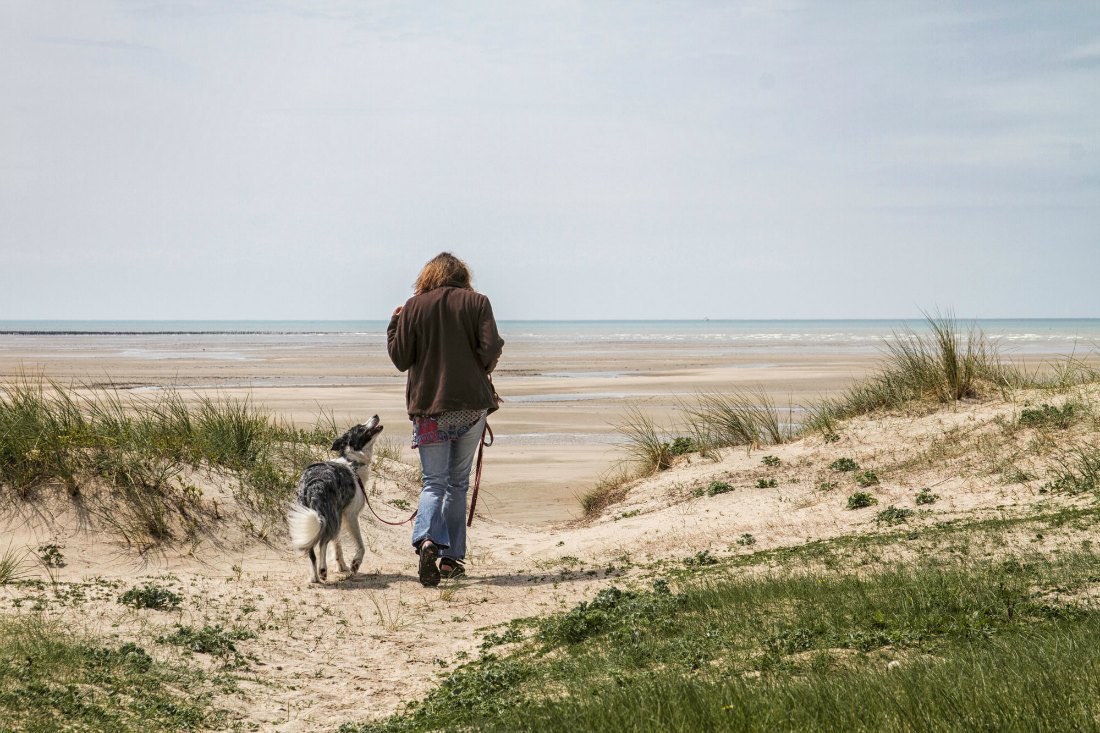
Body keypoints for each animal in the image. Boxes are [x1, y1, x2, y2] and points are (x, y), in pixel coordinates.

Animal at [290, 416, 385, 581]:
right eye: (360, 427)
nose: (376, 415)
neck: (353, 462)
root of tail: (314, 483)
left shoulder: (339, 514)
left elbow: (337, 545)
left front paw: (342, 566)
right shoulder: (350, 515)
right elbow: (361, 545)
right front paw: (355, 564)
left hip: (319, 516)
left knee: (312, 549)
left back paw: (314, 577)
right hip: (331, 516)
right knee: (322, 541)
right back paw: (322, 570)